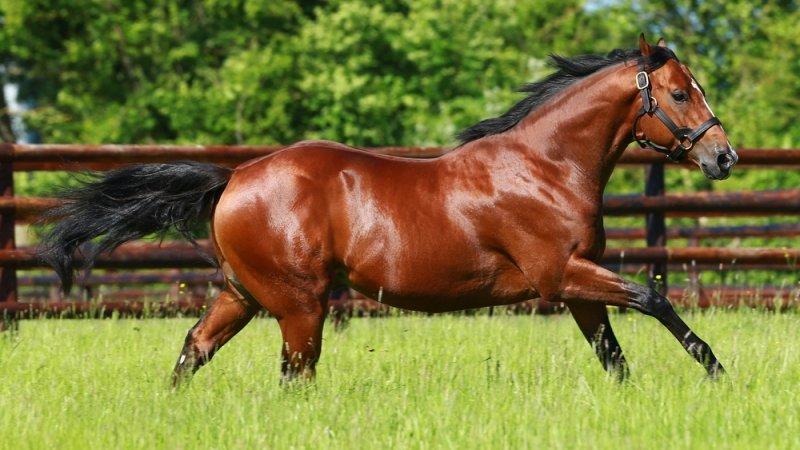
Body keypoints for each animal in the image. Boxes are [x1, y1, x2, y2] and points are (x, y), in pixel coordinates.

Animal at [39, 35, 737, 384]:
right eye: (680, 93)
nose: (724, 156)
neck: (546, 167)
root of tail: (235, 176)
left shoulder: (578, 286)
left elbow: (613, 357)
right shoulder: (561, 275)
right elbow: (654, 298)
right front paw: (717, 371)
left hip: (242, 294)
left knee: (195, 349)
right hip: (300, 305)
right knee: (295, 373)